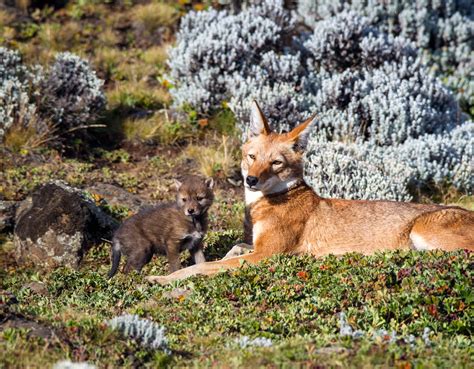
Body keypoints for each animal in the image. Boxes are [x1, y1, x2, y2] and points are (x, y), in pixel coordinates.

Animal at [146, 99, 472, 284]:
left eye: (275, 163)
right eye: (252, 156)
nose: (251, 180)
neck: (265, 204)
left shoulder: (266, 255)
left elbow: (205, 267)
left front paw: (163, 278)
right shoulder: (256, 247)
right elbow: (232, 248)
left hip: (424, 235)